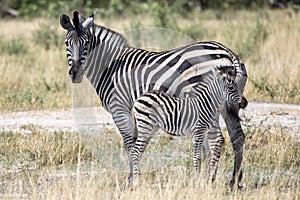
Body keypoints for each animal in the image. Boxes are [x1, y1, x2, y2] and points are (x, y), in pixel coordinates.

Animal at [59, 10, 247, 189]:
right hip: (229, 105)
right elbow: (138, 144)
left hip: (209, 101)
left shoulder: (119, 108)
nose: (75, 73)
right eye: (67, 43)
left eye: (86, 43)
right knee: (236, 136)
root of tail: (229, 53)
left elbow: (129, 144)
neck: (111, 66)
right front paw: (134, 178)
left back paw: (209, 181)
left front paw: (130, 182)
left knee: (217, 140)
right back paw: (233, 181)